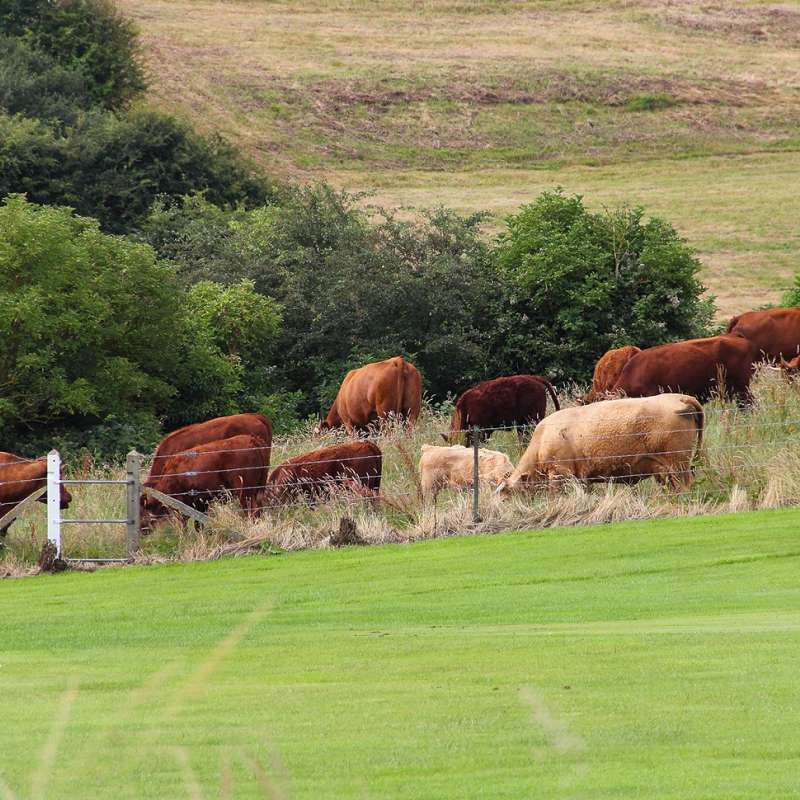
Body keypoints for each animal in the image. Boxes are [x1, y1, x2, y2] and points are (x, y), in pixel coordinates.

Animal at [140, 434, 270, 529]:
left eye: (142, 509)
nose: (142, 529)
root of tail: (253, 440)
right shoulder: (202, 503)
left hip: (244, 493)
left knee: (251, 511)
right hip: (257, 489)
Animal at [497, 394, 704, 493]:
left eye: (506, 495)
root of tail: (680, 397)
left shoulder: (560, 474)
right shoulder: (582, 478)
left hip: (677, 463)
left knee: (685, 484)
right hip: (666, 468)